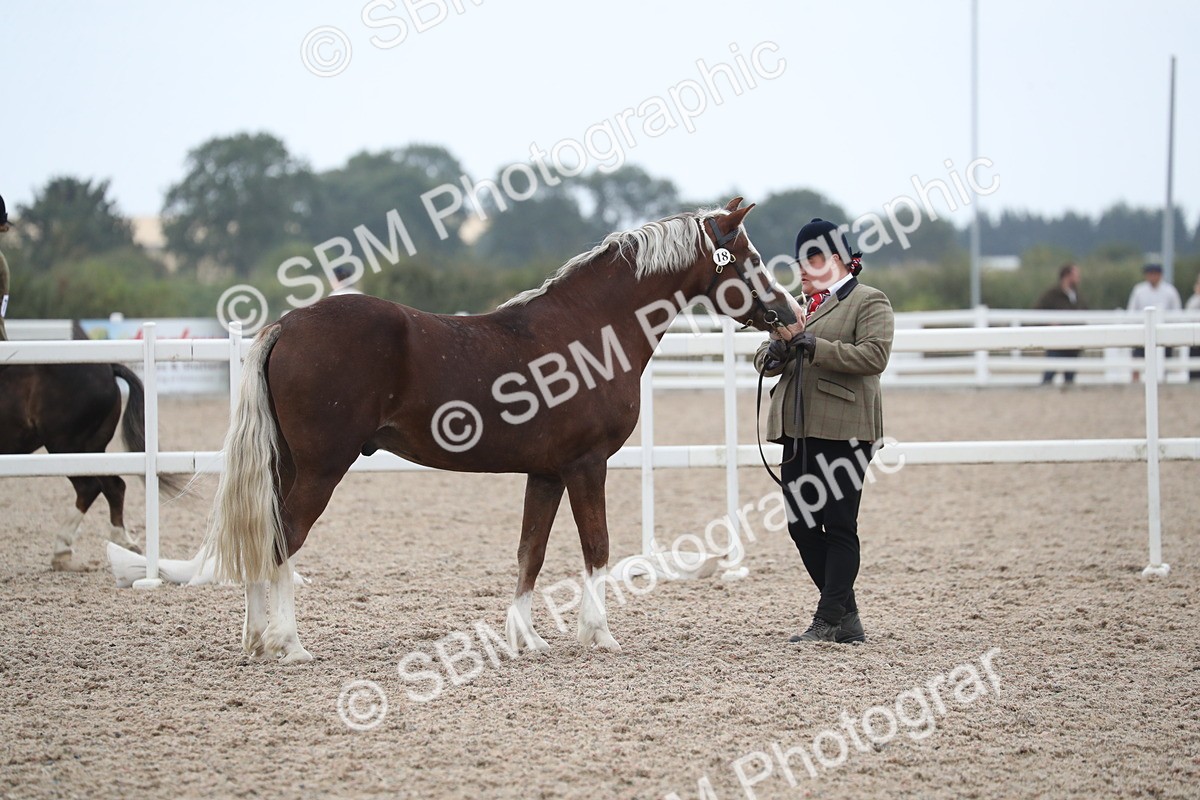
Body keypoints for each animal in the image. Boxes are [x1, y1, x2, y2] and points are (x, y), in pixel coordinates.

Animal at [0, 326, 184, 569]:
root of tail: (108, 369)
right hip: (91, 449)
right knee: (114, 486)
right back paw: (123, 542)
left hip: (66, 446)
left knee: (89, 488)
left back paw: (62, 550)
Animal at [205, 198, 804, 663]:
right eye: (751, 259)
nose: (791, 315)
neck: (590, 331)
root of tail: (287, 325)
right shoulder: (587, 464)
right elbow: (597, 546)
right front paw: (599, 633)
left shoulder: (546, 473)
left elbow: (529, 552)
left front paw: (526, 639)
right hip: (322, 469)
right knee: (283, 539)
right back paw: (289, 643)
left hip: (287, 465)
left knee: (263, 533)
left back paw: (255, 639)